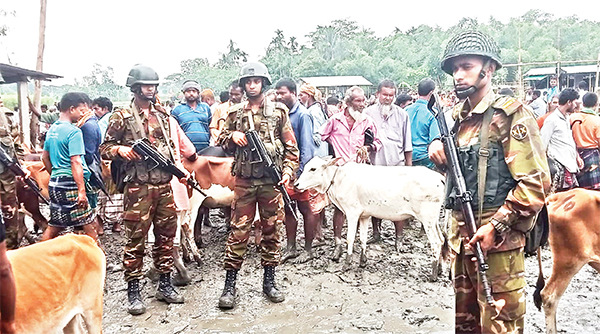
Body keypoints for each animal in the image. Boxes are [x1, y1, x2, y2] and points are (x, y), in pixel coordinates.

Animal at [296, 157, 446, 280]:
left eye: (313, 169)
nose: (296, 184)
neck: (338, 179)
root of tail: (439, 177)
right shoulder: (364, 216)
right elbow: (362, 238)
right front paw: (362, 261)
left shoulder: (352, 213)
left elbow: (350, 238)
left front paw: (347, 263)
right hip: (434, 220)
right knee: (442, 239)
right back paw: (439, 270)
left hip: (427, 219)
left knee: (436, 242)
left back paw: (433, 274)